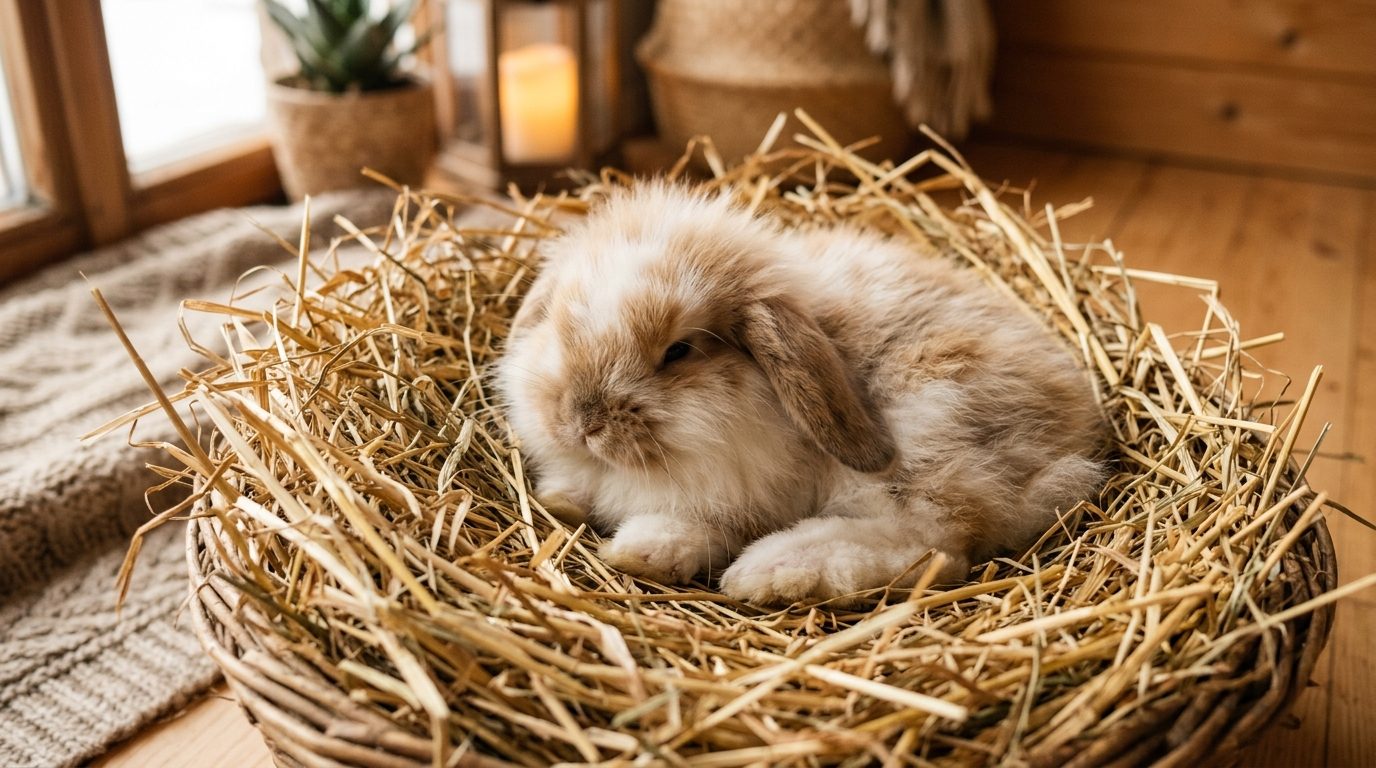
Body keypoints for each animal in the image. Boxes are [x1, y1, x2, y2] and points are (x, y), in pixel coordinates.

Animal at [496, 182, 1105, 605]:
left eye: (679, 351)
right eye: (560, 323)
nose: (581, 420)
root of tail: (1076, 436)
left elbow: (695, 526)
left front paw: (641, 551)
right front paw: (561, 498)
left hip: (934, 429)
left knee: (938, 546)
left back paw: (768, 572)